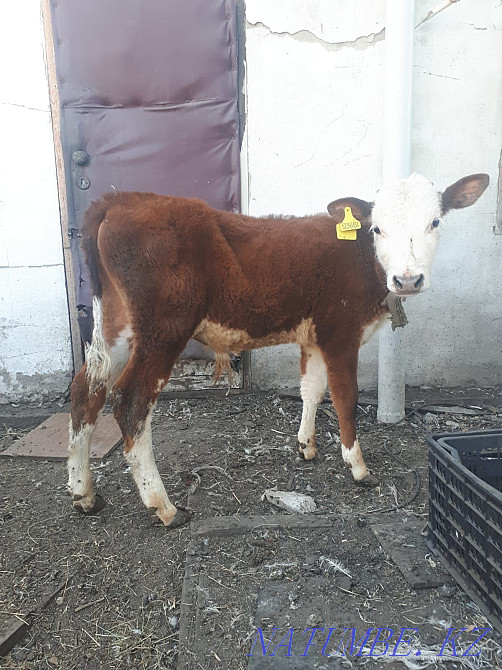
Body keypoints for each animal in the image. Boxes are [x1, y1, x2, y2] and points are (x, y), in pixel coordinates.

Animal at [68, 173, 489, 527]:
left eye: (435, 222)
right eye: (377, 228)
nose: (408, 279)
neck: (362, 258)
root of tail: (122, 200)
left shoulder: (313, 337)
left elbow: (312, 390)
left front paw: (306, 446)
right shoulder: (340, 334)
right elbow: (345, 398)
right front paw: (357, 467)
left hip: (117, 324)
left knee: (86, 388)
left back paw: (83, 492)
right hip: (164, 327)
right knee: (131, 400)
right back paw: (164, 506)